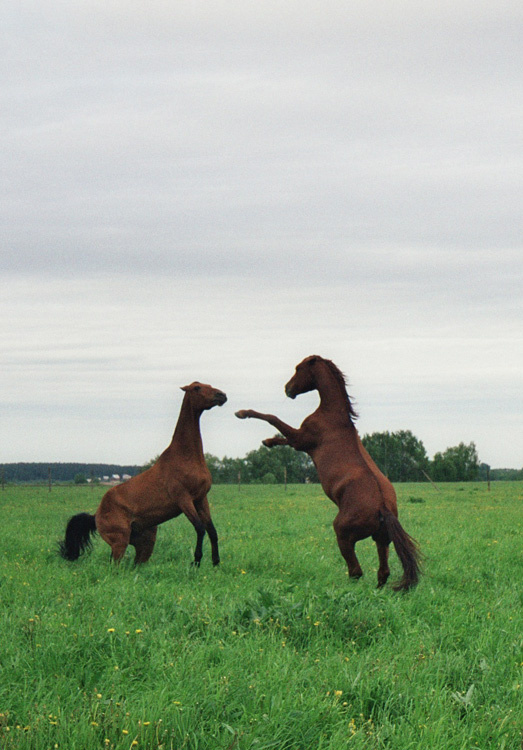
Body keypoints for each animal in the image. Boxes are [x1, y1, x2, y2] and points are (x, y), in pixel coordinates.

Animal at [59, 382, 227, 566]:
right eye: (197, 387)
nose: (221, 395)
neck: (186, 456)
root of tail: (95, 515)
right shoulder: (184, 499)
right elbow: (200, 528)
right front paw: (196, 562)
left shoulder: (201, 499)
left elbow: (212, 530)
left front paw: (216, 562)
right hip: (120, 542)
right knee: (114, 566)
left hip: (145, 544)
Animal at [236, 356, 420, 590]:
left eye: (298, 369)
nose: (287, 389)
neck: (332, 414)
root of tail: (382, 508)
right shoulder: (299, 441)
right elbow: (280, 434)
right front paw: (267, 442)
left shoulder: (301, 440)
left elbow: (273, 418)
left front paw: (242, 414)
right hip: (381, 540)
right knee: (382, 572)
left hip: (343, 534)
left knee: (356, 571)